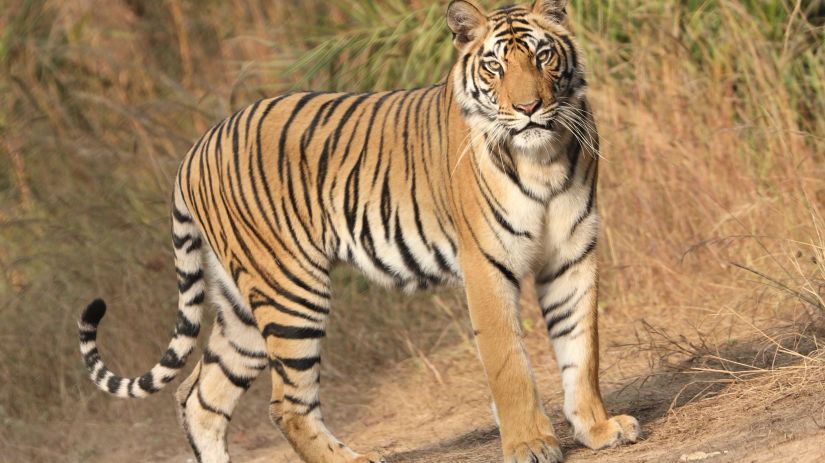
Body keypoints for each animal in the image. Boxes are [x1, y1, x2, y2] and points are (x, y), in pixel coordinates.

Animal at [77, 0, 640, 463]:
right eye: (494, 65)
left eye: (543, 57)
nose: (528, 109)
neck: (542, 158)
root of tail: (194, 150)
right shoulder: (486, 265)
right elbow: (510, 364)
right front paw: (530, 445)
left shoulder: (572, 255)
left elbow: (582, 349)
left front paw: (599, 429)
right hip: (291, 291)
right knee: (286, 405)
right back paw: (354, 459)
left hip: (241, 308)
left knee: (200, 397)